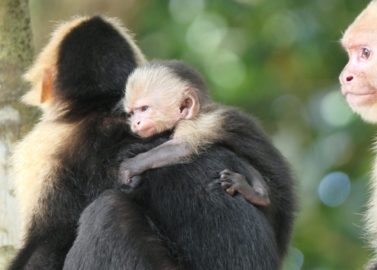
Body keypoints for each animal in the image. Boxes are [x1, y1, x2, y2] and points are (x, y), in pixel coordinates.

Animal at [120, 60, 270, 206]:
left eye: (144, 109)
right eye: (132, 113)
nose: (135, 123)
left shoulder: (196, 122)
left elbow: (182, 148)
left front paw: (130, 166)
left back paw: (258, 195)